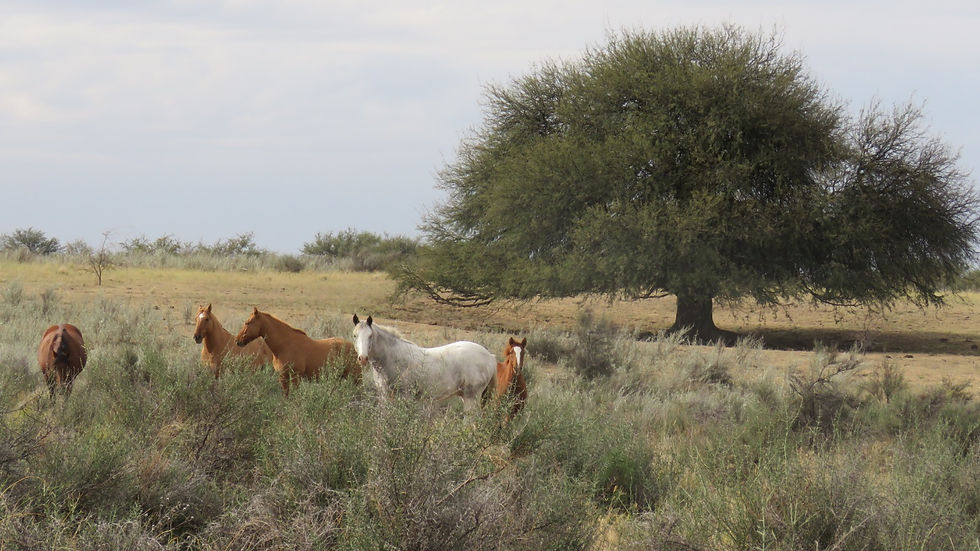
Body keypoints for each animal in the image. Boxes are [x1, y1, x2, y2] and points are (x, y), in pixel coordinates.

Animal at [351, 314, 497, 412]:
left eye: (370, 336)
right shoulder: (384, 395)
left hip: (471, 398)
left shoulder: (405, 396)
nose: (362, 358)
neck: (390, 358)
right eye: (355, 335)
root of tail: (490, 356)